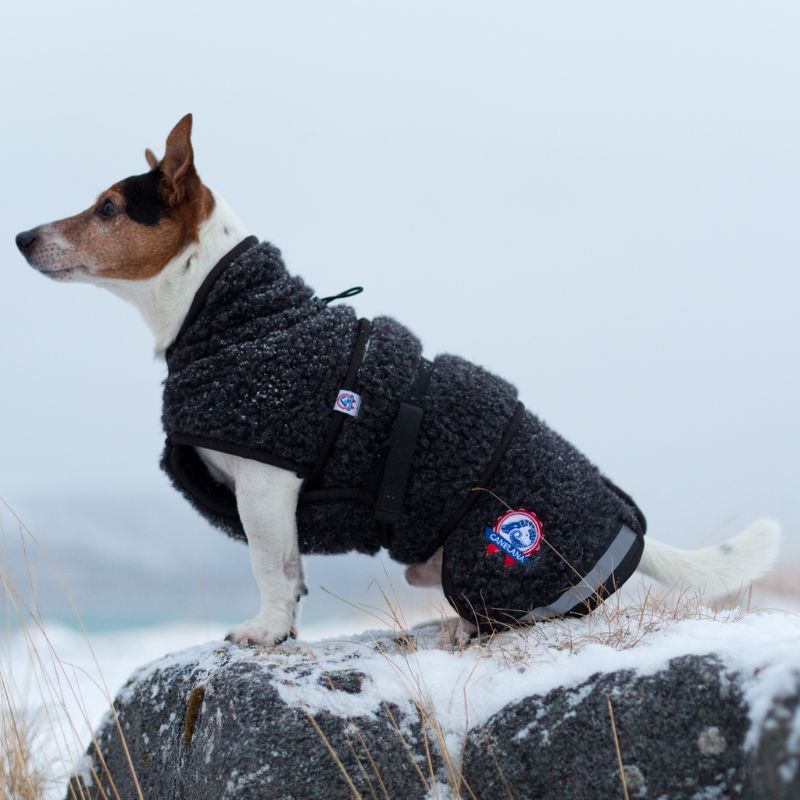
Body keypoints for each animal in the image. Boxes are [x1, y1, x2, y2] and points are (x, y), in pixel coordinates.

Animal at [15, 112, 784, 648]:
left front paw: (265, 632)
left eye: (109, 208)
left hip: (489, 557)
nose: (21, 238)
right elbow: (291, 574)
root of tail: (625, 526)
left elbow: (269, 568)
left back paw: (467, 627)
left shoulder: (267, 484)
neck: (238, 313)